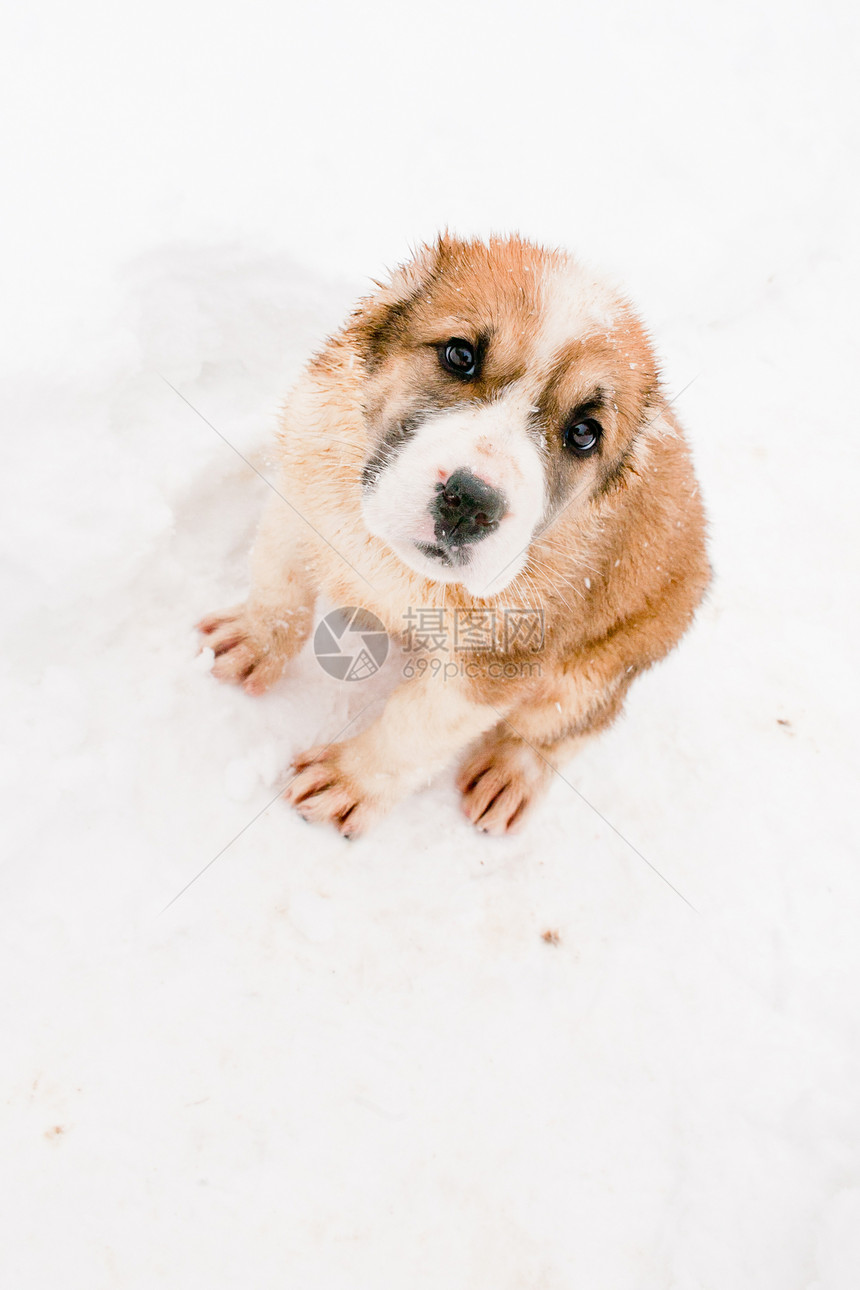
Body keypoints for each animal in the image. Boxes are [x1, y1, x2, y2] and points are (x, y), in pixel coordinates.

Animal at [198, 234, 711, 835]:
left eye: (584, 434)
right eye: (460, 356)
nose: (472, 504)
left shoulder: (494, 663)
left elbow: (414, 726)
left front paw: (350, 780)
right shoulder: (306, 483)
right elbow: (279, 578)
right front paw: (256, 641)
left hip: (598, 666)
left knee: (567, 726)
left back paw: (510, 773)